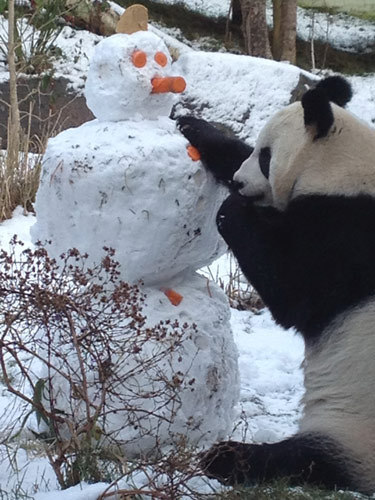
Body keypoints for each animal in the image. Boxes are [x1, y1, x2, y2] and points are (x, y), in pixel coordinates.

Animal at [177, 76, 375, 494]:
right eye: (257, 149)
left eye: (266, 157)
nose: (238, 182)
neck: (344, 169)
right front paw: (195, 127)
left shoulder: (350, 237)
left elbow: (294, 291)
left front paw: (233, 207)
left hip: (355, 425)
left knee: (309, 460)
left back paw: (228, 458)